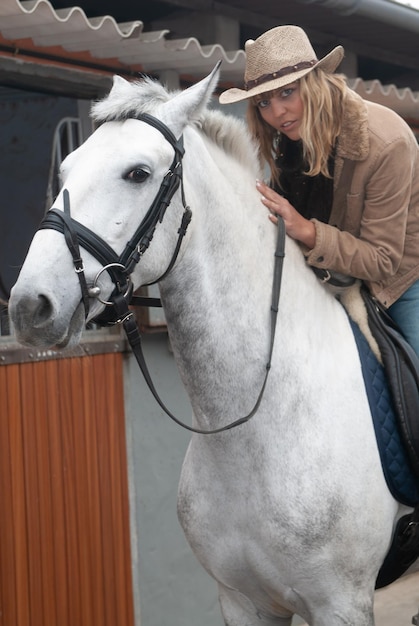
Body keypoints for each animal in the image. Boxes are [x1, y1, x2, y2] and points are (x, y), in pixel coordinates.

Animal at [8, 66, 416, 620]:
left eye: (138, 173)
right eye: (66, 166)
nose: (29, 307)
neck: (251, 429)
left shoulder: (341, 605)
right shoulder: (243, 601)